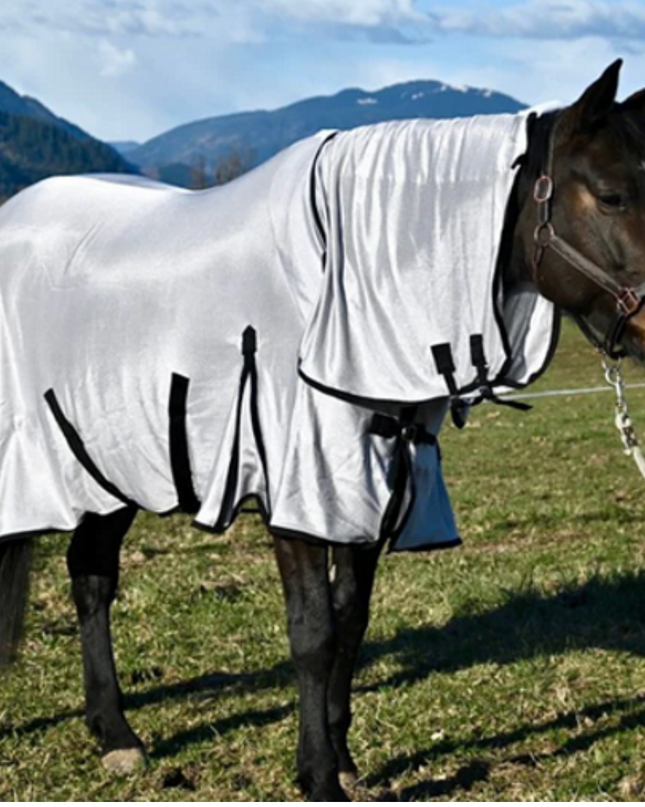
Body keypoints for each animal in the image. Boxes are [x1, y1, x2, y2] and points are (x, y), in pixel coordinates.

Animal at [2, 59, 645, 802]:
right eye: (611, 194)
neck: (339, 279)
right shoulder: (301, 491)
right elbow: (311, 630)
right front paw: (315, 774)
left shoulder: (374, 480)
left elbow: (350, 620)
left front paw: (342, 757)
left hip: (112, 462)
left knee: (90, 574)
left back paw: (115, 734)